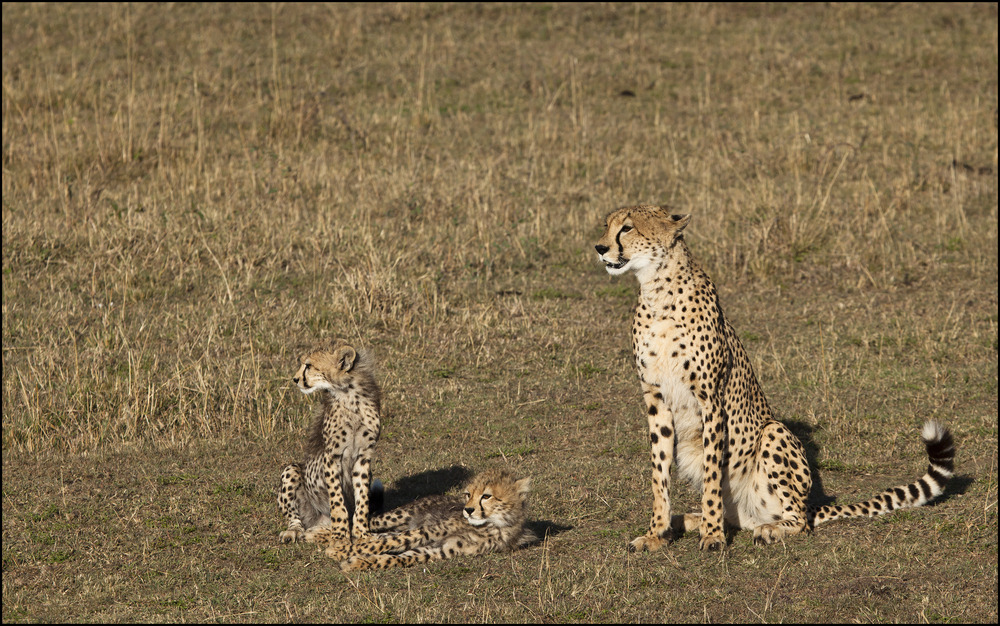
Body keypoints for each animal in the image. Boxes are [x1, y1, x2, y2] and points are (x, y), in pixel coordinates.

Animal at [276, 338, 380, 560]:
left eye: (308, 365)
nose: (295, 379)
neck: (348, 395)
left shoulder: (364, 457)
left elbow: (362, 498)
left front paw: (362, 534)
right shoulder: (332, 457)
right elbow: (338, 503)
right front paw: (341, 537)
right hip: (292, 470)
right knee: (295, 517)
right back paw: (294, 531)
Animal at [338, 464, 540, 572]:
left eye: (486, 496)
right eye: (468, 494)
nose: (468, 510)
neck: (489, 525)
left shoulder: (442, 550)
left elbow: (400, 556)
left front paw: (358, 561)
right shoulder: (432, 530)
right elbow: (399, 540)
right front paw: (341, 550)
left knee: (382, 534)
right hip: (400, 515)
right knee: (366, 524)